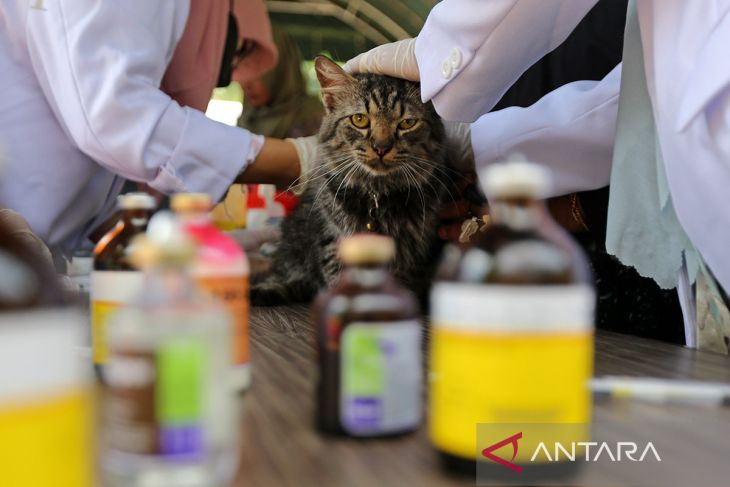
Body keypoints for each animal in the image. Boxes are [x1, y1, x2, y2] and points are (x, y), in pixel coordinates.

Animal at [250, 54, 456, 304]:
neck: (377, 193)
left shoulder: (412, 254)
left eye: (407, 123)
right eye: (359, 119)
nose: (381, 147)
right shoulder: (334, 242)